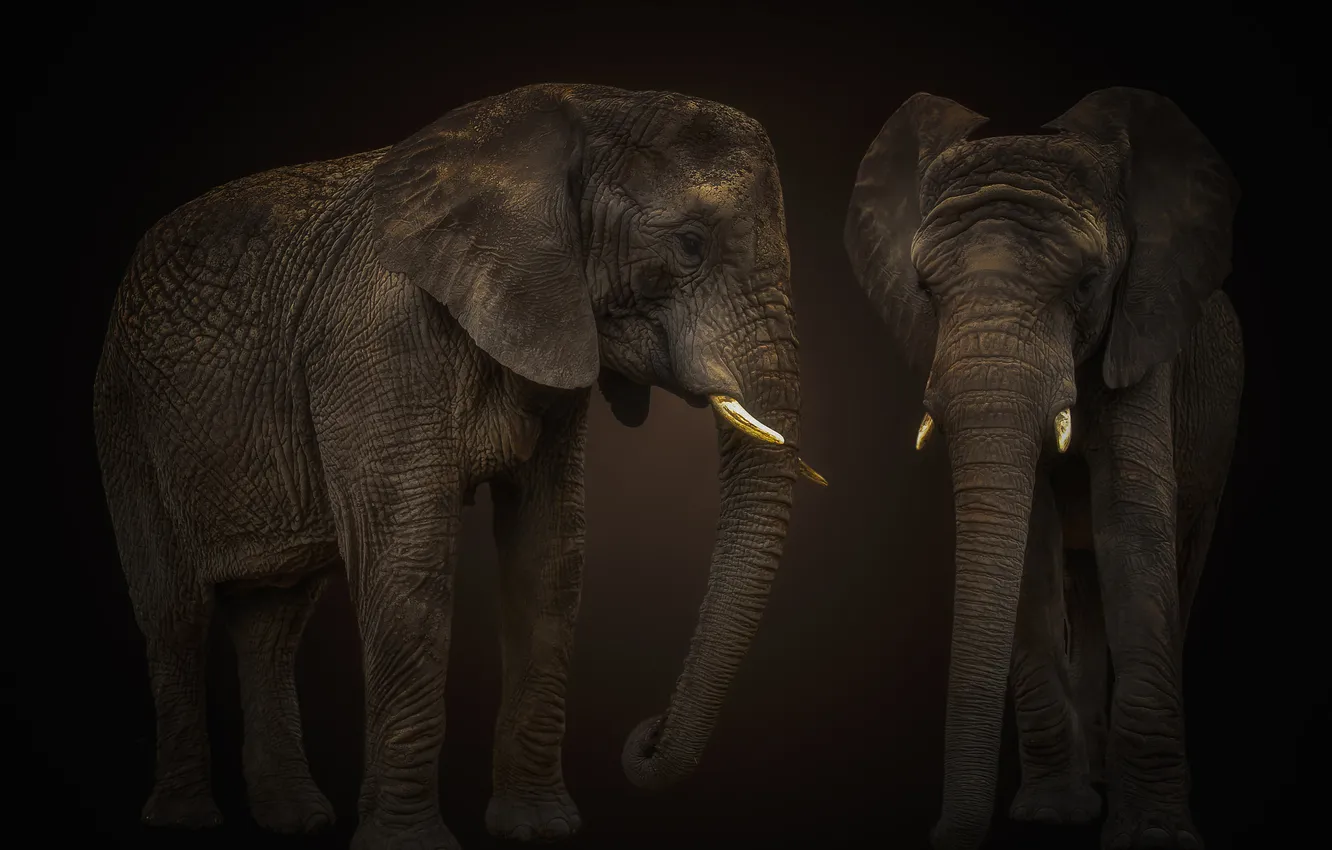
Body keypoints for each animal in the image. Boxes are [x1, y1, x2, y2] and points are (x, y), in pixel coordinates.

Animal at [93, 82, 826, 850]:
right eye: (689, 245)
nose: (646, 736)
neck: (577, 109)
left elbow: (550, 554)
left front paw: (537, 829)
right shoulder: (375, 342)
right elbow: (408, 558)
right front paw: (407, 843)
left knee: (274, 620)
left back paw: (297, 820)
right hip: (126, 419)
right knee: (175, 614)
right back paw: (186, 820)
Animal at [844, 88, 1242, 850]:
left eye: (1088, 283)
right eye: (923, 289)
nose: (939, 835)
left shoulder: (1141, 328)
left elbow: (1133, 523)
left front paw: (1153, 835)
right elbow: (1033, 533)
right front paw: (1053, 814)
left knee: (1182, 554)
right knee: (1080, 581)